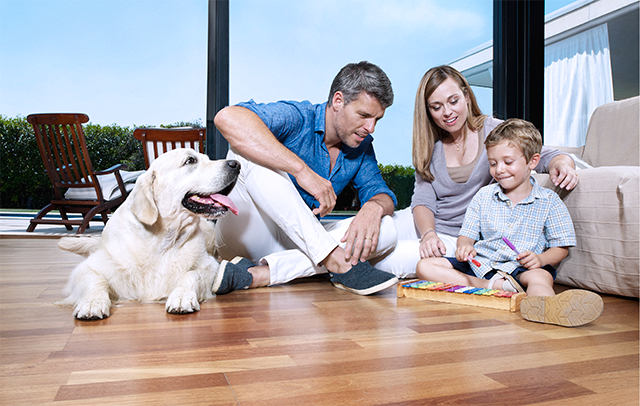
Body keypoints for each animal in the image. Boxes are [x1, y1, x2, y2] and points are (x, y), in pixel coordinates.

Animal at [55, 147, 238, 318]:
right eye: (190, 160)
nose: (236, 164)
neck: (161, 240)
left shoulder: (209, 265)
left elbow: (189, 275)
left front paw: (181, 297)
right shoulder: (87, 268)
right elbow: (96, 280)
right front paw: (93, 302)